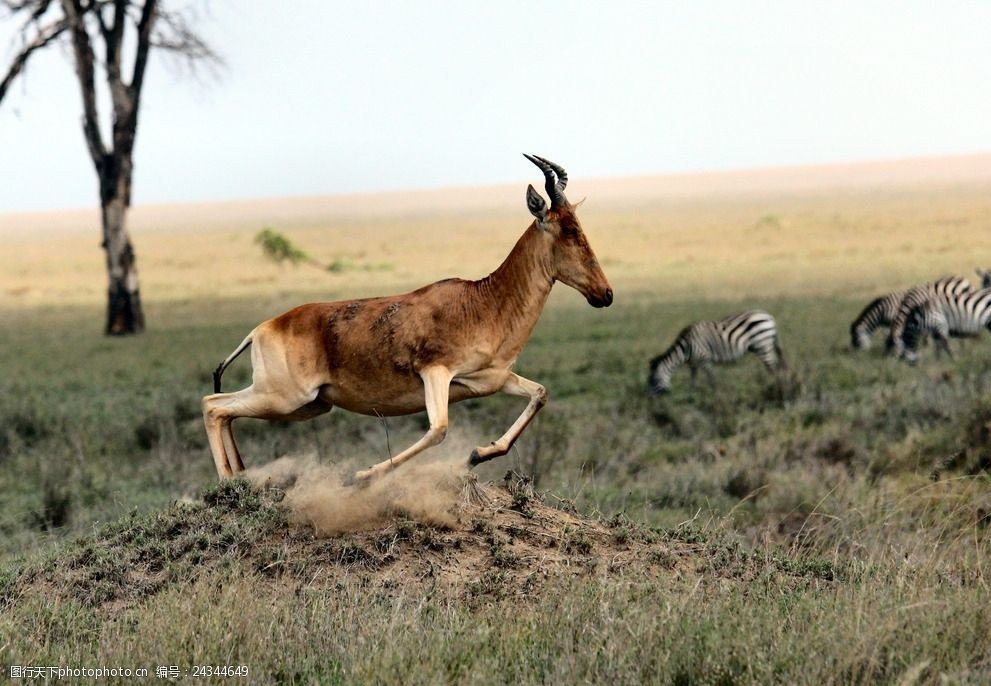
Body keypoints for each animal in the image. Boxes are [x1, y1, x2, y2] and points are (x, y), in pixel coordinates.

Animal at [202, 154, 612, 482]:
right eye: (568, 230)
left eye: (579, 225)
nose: (604, 294)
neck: (483, 300)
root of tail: (262, 328)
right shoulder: (435, 372)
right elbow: (438, 429)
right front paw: (363, 475)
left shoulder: (491, 380)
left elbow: (540, 394)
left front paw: (477, 454)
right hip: (285, 397)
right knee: (213, 404)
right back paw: (228, 483)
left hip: (309, 405)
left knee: (225, 411)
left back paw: (241, 476)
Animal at [648, 310, 788, 396]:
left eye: (654, 380)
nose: (649, 399)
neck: (686, 348)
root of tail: (769, 316)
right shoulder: (694, 364)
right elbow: (693, 381)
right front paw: (690, 397)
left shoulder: (705, 360)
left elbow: (712, 380)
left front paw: (716, 397)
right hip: (766, 346)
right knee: (777, 367)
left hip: (763, 346)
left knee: (774, 369)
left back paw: (774, 388)